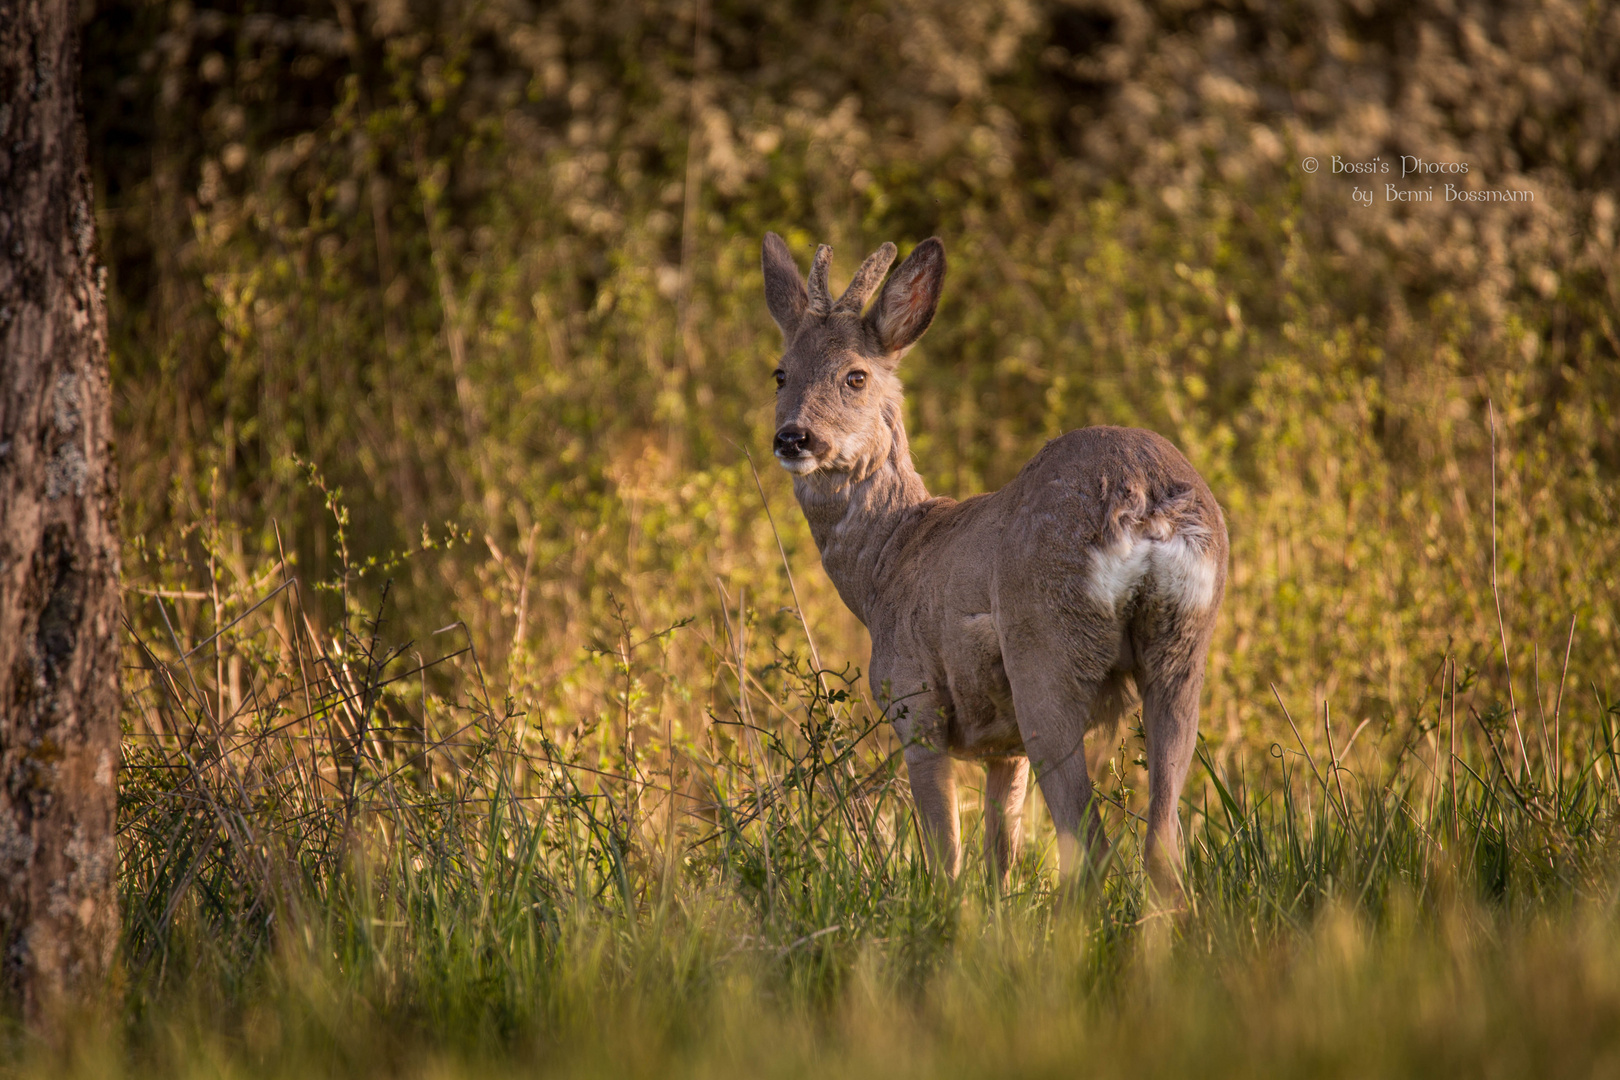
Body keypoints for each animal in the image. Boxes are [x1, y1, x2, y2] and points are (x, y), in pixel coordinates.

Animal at [758, 233, 1224, 900]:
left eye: (855, 375)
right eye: (780, 373)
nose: (794, 438)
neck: (888, 563)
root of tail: (1141, 501)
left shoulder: (914, 700)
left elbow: (947, 855)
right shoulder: (1005, 746)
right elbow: (999, 856)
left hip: (1045, 651)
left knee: (1090, 844)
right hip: (1184, 647)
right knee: (1162, 844)